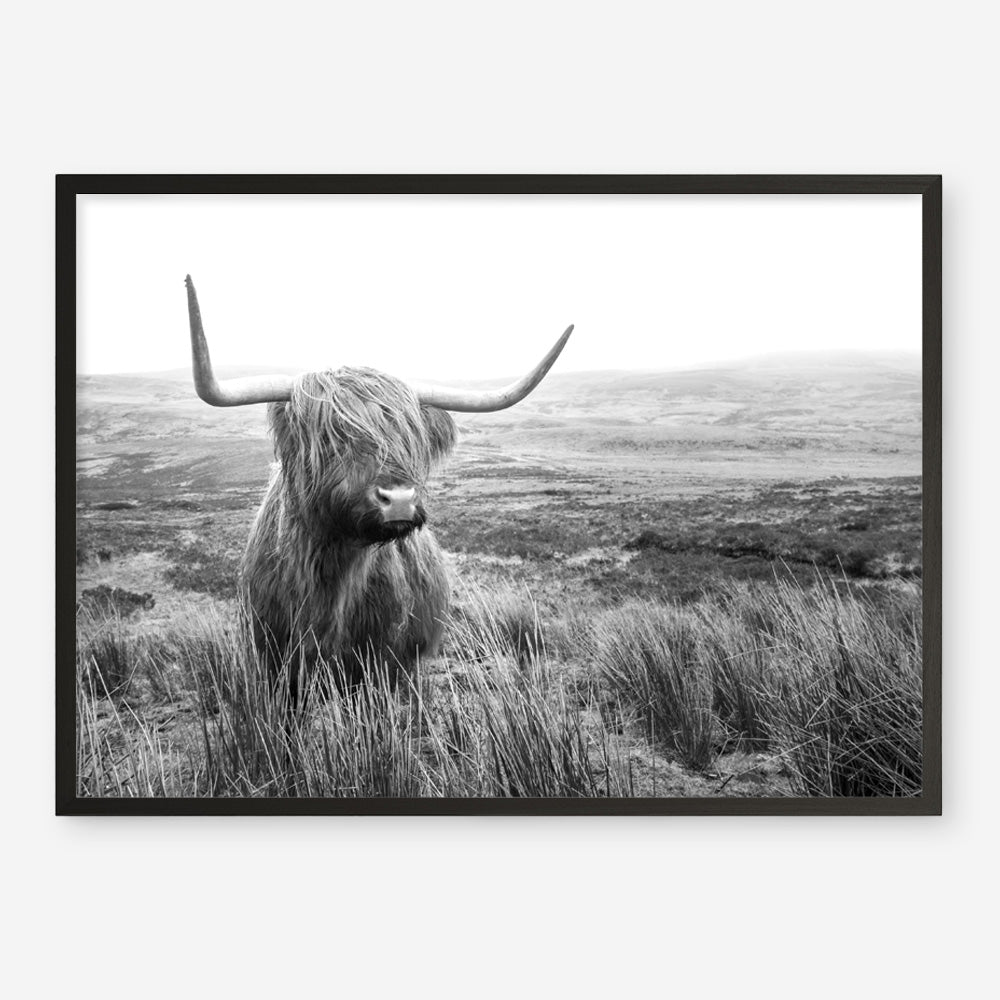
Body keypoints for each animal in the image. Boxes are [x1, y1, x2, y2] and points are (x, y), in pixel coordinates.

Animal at [184, 276, 572, 692]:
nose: (399, 499)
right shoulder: (274, 659)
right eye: (331, 436)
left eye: (410, 437)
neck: (333, 576)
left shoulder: (385, 663)